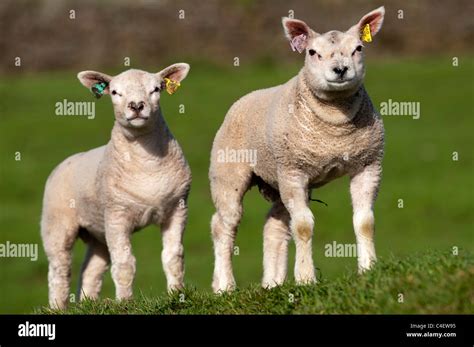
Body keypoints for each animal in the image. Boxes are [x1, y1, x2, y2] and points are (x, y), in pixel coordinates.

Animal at [40, 64, 192, 308]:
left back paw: (88, 303)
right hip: (57, 224)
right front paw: (125, 302)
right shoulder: (117, 215)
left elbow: (173, 257)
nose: (137, 105)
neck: (148, 164)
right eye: (114, 92)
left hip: (97, 230)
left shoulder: (177, 209)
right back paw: (57, 307)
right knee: (59, 271)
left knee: (91, 270)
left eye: (156, 89)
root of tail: (66, 161)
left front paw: (177, 295)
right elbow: (124, 263)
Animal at [210, 6, 386, 292]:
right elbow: (303, 226)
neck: (335, 131)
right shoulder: (294, 171)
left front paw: (369, 270)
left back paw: (272, 283)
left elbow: (365, 222)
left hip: (278, 176)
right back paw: (225, 286)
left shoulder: (368, 164)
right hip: (230, 173)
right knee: (224, 224)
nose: (340, 70)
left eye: (358, 48)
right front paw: (305, 278)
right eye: (312, 53)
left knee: (274, 224)